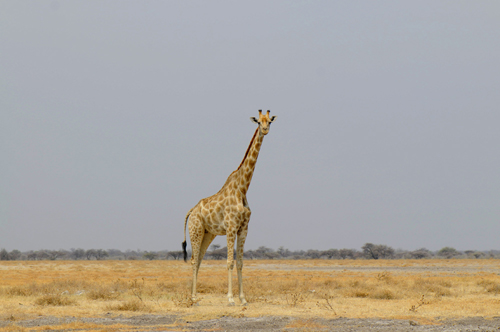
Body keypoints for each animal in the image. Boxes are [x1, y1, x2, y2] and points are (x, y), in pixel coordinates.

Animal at [182, 109, 278, 306]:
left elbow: (240, 262)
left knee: (199, 259)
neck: (242, 188)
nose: (265, 130)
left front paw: (243, 299)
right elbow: (229, 262)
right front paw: (230, 298)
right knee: (194, 260)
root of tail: (191, 211)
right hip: (195, 230)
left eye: (270, 121)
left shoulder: (244, 228)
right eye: (259, 122)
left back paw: (195, 296)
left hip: (208, 234)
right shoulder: (231, 227)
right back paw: (193, 297)